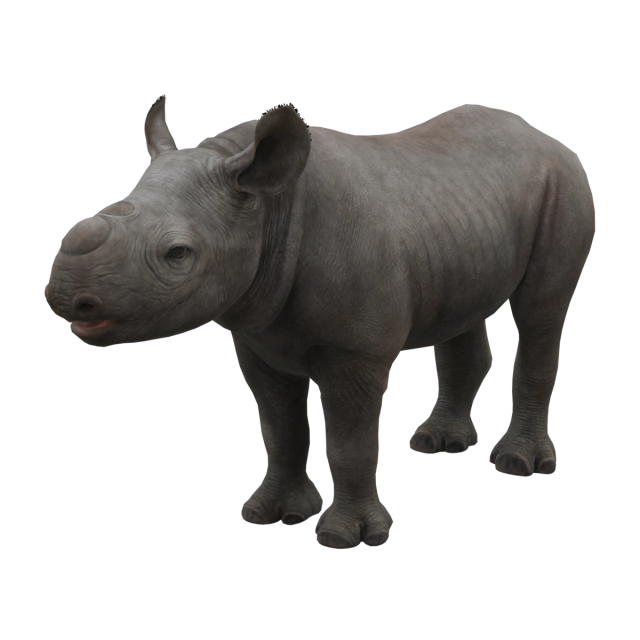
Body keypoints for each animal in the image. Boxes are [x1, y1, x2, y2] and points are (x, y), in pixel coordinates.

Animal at [44, 95, 597, 549]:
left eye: (178, 254)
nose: (67, 296)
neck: (268, 210)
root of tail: (540, 131)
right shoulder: (258, 337)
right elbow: (281, 427)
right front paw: (274, 516)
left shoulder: (357, 351)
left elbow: (350, 440)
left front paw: (348, 538)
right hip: (466, 213)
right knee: (463, 311)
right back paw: (438, 445)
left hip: (565, 184)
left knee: (541, 311)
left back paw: (519, 464)